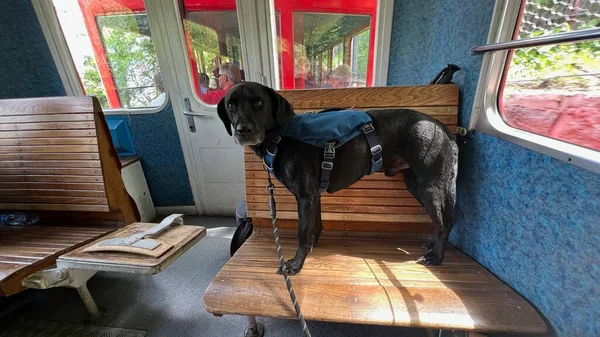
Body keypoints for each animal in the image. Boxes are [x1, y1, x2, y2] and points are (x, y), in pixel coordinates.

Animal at [218, 82, 458, 274]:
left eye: (259, 102)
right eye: (231, 105)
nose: (243, 130)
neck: (281, 136)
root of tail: (441, 126)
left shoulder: (305, 197)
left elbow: (302, 233)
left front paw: (295, 264)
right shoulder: (314, 196)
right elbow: (316, 225)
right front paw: (312, 247)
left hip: (429, 186)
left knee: (444, 222)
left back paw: (436, 257)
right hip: (414, 184)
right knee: (441, 220)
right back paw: (432, 245)